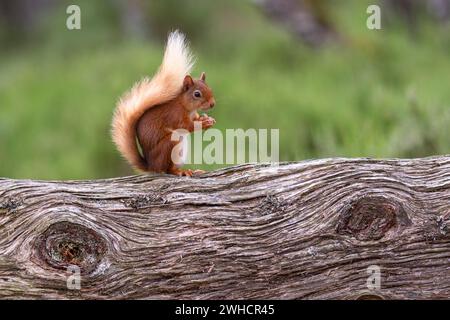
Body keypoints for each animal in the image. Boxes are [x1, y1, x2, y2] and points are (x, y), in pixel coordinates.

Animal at [111, 31, 216, 176]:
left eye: (209, 88)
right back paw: (180, 172)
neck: (186, 107)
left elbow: (195, 119)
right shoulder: (175, 115)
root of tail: (151, 166)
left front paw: (207, 119)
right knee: (167, 169)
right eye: (197, 94)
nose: (212, 104)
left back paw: (192, 170)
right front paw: (203, 123)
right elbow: (186, 126)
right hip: (170, 144)